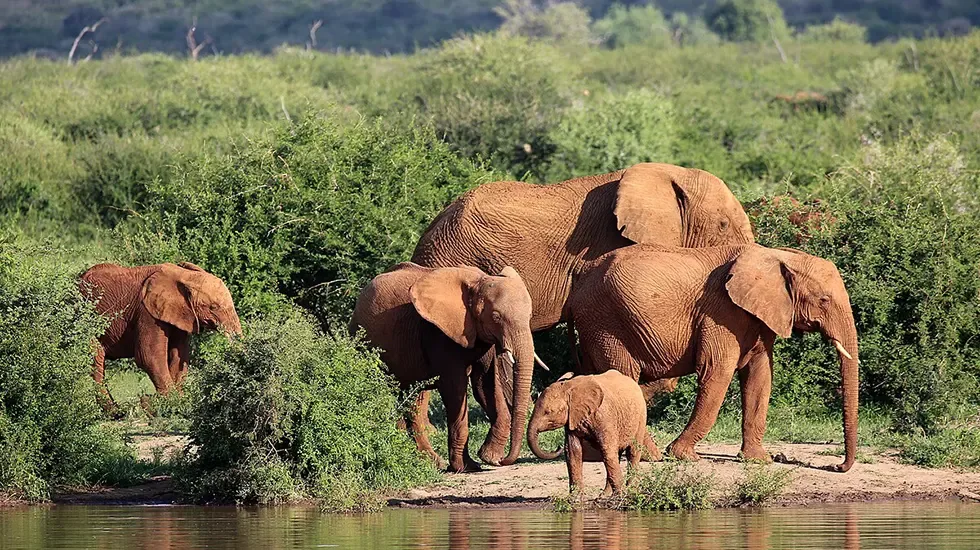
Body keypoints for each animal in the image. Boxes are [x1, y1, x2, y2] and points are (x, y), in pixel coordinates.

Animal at [80, 262, 242, 405]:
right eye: (213, 307)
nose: (144, 397)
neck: (185, 276)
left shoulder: (181, 314)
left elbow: (180, 354)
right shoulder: (146, 311)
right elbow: (148, 356)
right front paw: (171, 403)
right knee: (96, 356)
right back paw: (116, 413)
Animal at [350, 262, 546, 473]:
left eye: (529, 315)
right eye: (496, 317)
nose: (504, 461)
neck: (479, 281)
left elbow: (485, 385)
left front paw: (488, 457)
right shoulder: (439, 333)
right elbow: (455, 389)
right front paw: (466, 467)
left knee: (416, 399)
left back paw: (431, 462)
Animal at [565, 244, 860, 472]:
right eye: (824, 299)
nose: (836, 466)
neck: (777, 256)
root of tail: (580, 278)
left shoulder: (759, 315)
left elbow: (760, 376)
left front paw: (759, 460)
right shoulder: (720, 312)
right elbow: (717, 371)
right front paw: (683, 456)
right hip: (607, 323)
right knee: (624, 377)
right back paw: (653, 456)